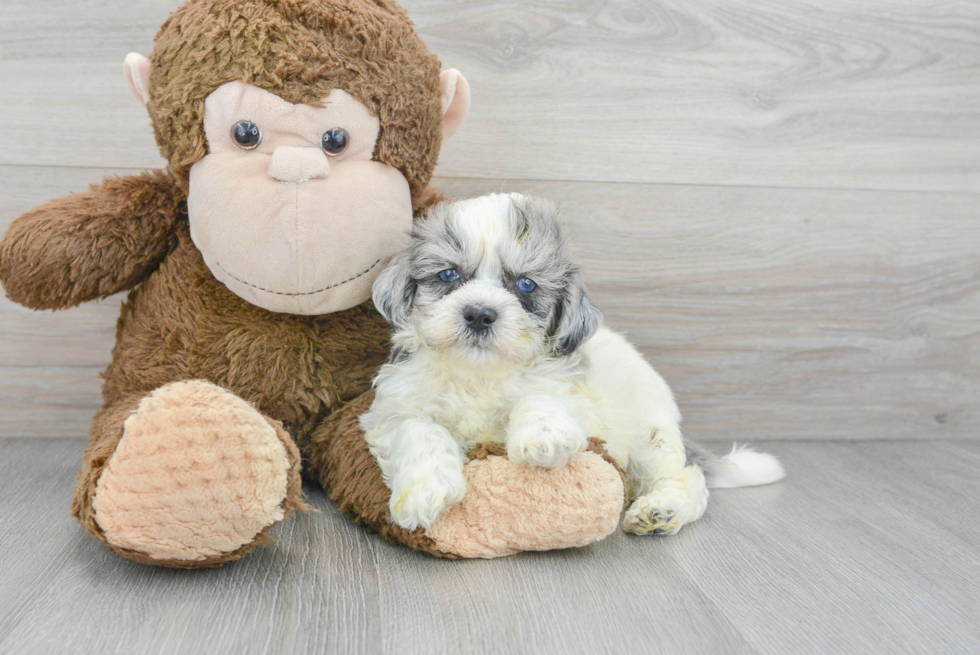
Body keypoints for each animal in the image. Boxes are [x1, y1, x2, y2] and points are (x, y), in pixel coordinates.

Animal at [356, 195, 784, 540]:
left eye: (526, 285)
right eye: (448, 275)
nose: (479, 314)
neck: (481, 373)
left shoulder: (571, 391)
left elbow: (543, 398)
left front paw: (542, 437)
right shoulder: (394, 408)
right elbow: (419, 430)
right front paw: (427, 489)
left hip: (651, 436)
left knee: (686, 476)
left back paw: (662, 511)